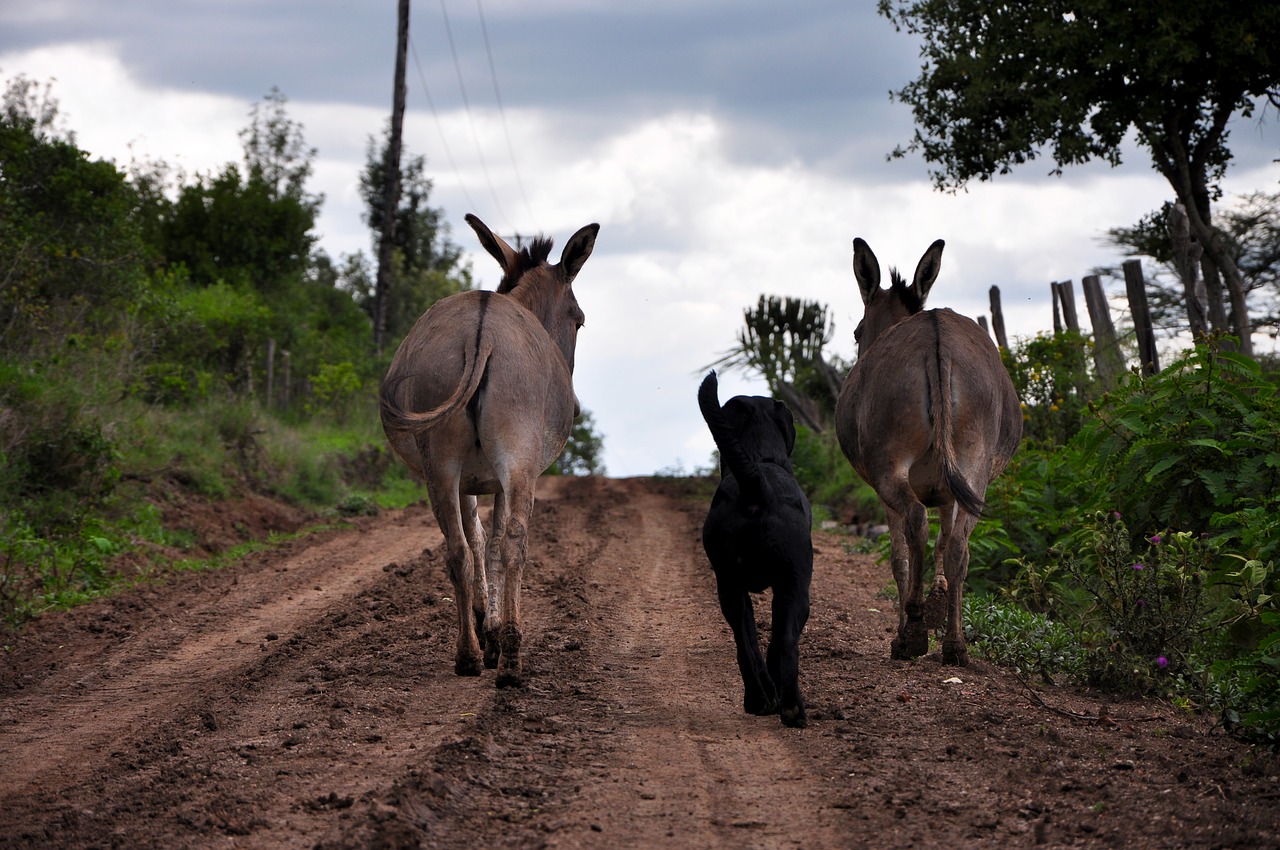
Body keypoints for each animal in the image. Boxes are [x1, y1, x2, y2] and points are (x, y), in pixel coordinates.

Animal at [696, 368, 814, 727]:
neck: (761, 457)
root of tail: (756, 488)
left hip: (729, 585)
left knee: (744, 641)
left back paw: (763, 700)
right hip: (795, 586)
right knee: (785, 643)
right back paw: (787, 707)